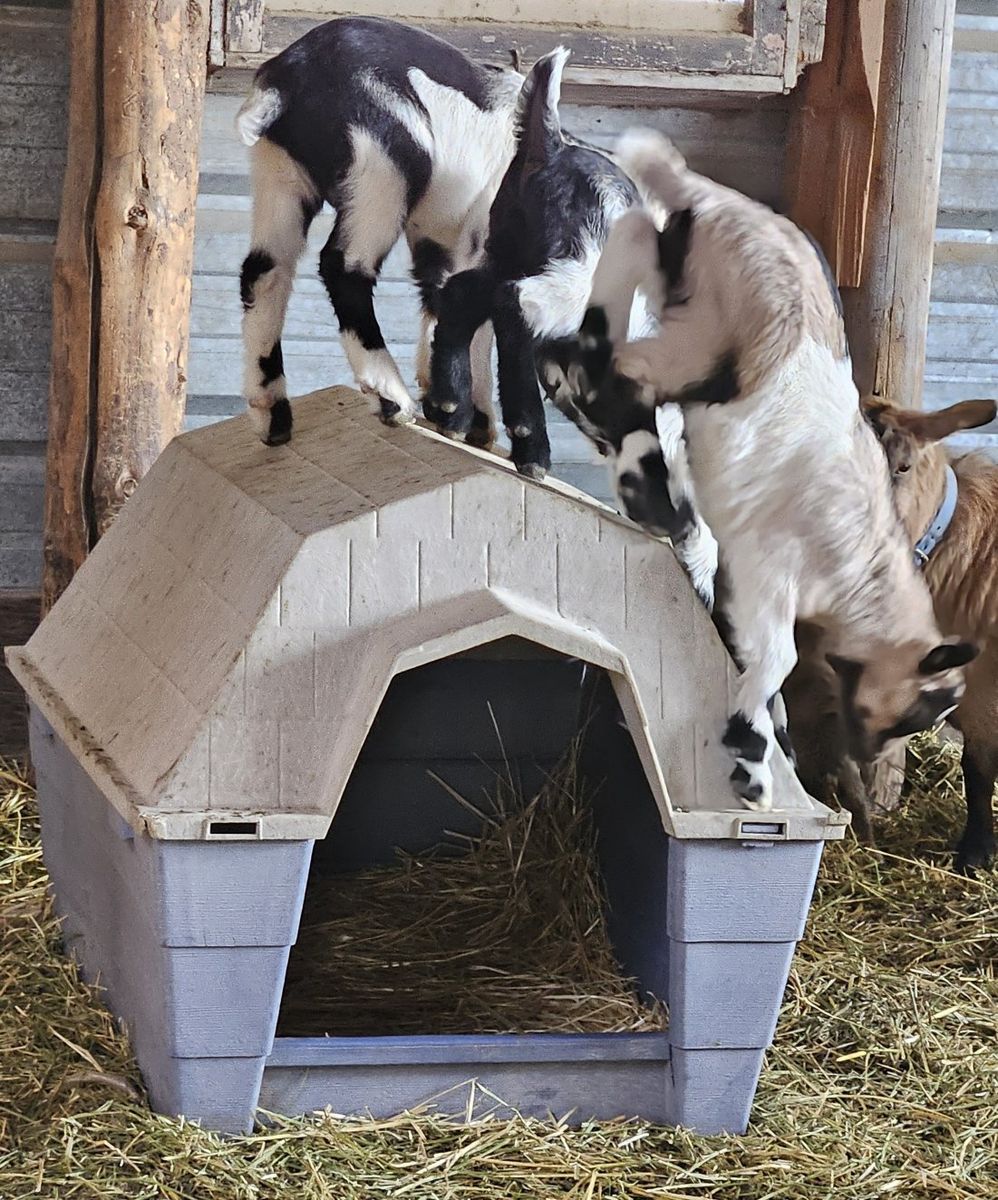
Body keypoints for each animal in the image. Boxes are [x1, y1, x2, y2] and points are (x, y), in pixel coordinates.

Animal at [236, 16, 523, 445]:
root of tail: (287, 81)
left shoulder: (436, 234)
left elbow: (437, 295)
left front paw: (447, 406)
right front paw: (471, 421)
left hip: (281, 176)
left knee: (265, 272)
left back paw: (273, 416)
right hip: (381, 172)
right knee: (344, 267)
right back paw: (392, 399)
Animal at [540, 129, 977, 812]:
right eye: (916, 714)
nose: (867, 759)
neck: (860, 575)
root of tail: (721, 201)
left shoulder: (746, 586)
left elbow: (759, 663)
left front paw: (768, 745)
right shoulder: (767, 575)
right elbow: (778, 659)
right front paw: (751, 768)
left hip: (671, 279)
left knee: (626, 252)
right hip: (696, 342)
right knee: (606, 363)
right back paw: (637, 476)